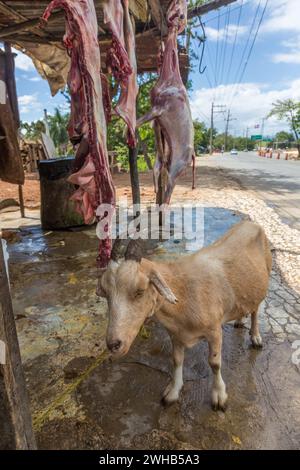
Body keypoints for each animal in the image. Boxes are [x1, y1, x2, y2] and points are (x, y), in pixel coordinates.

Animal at [96, 222, 272, 410]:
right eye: (106, 293)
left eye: (140, 291)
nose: (114, 344)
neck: (183, 295)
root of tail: (251, 223)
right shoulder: (176, 334)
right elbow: (177, 360)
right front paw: (173, 392)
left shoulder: (215, 331)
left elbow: (215, 363)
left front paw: (219, 396)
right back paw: (239, 320)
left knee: (256, 310)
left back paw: (256, 338)